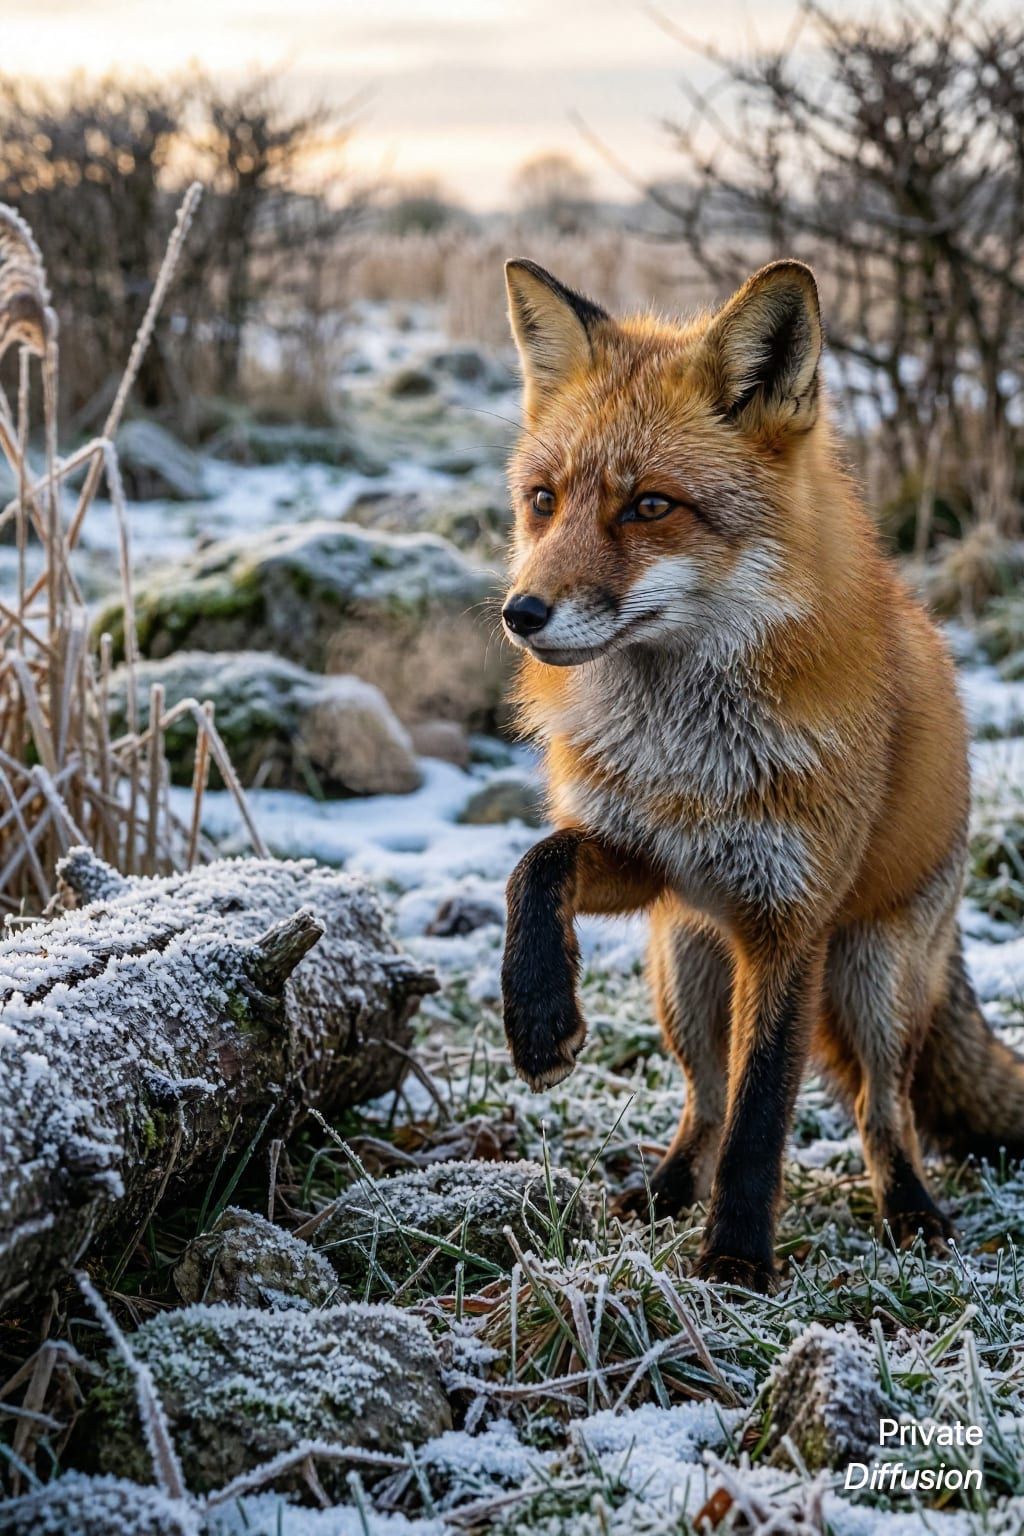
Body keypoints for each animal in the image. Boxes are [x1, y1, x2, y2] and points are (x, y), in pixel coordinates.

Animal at [497, 254, 1024, 1292]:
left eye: (649, 505)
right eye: (544, 499)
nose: (521, 613)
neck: (687, 754)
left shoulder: (791, 922)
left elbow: (764, 1109)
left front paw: (737, 1258)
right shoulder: (646, 855)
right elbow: (537, 864)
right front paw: (537, 1014)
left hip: (871, 979)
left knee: (882, 1111)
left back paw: (912, 1213)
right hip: (684, 973)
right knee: (701, 1101)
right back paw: (659, 1194)